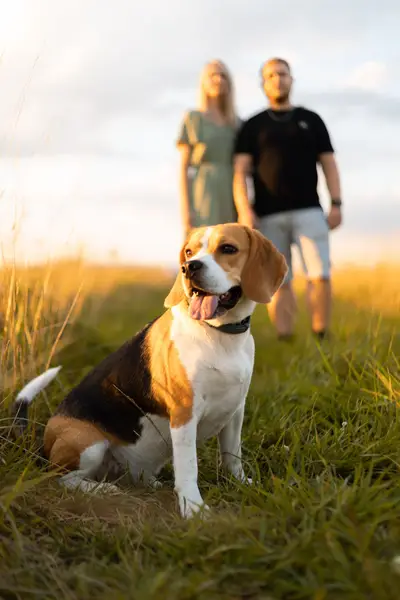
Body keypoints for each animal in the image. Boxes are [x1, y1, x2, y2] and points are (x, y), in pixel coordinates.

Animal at [13, 223, 288, 516]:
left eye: (228, 248)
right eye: (189, 252)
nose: (189, 267)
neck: (219, 334)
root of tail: (42, 446)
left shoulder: (235, 410)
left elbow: (232, 455)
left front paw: (240, 483)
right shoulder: (184, 413)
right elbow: (188, 466)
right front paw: (193, 508)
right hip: (87, 442)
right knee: (62, 478)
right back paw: (100, 488)